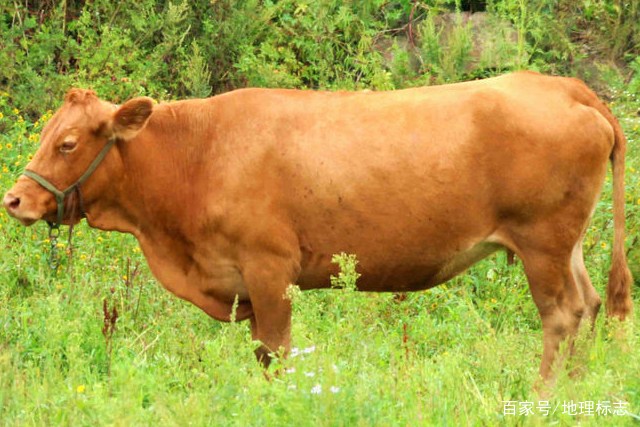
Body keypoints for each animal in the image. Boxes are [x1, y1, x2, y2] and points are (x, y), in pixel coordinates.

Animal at [2, 72, 632, 382]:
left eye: (68, 142)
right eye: (45, 132)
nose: (14, 199)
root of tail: (565, 86)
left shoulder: (269, 270)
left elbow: (277, 354)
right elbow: (264, 354)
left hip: (541, 241)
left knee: (562, 316)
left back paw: (544, 396)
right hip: (568, 243)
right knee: (590, 303)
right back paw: (575, 389)